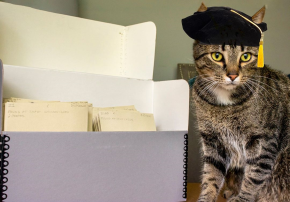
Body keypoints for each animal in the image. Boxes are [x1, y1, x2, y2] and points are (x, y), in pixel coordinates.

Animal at [190, 3, 290, 202]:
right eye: (217, 56)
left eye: (245, 57)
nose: (233, 75)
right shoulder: (213, 142)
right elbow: (210, 177)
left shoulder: (263, 143)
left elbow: (253, 178)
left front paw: (242, 197)